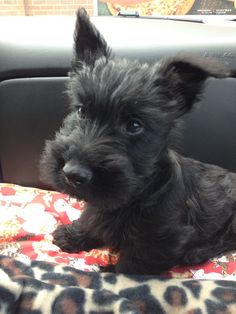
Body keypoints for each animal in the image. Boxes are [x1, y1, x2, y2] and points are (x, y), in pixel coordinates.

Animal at [40, 7, 236, 274]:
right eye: (81, 110)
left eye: (134, 125)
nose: (73, 174)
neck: (139, 191)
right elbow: (92, 218)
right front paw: (73, 235)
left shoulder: (156, 243)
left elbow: (130, 267)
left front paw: (110, 272)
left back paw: (196, 252)